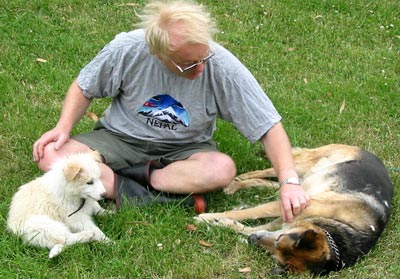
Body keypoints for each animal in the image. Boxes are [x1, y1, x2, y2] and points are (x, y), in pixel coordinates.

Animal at [197, 145, 394, 276]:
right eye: (279, 240)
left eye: (276, 255)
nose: (253, 241)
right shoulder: (289, 206)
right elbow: (248, 213)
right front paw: (206, 217)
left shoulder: (283, 219)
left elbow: (247, 227)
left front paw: (220, 222)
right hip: (302, 166)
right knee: (264, 172)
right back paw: (237, 180)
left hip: (297, 182)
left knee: (270, 184)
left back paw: (237, 184)